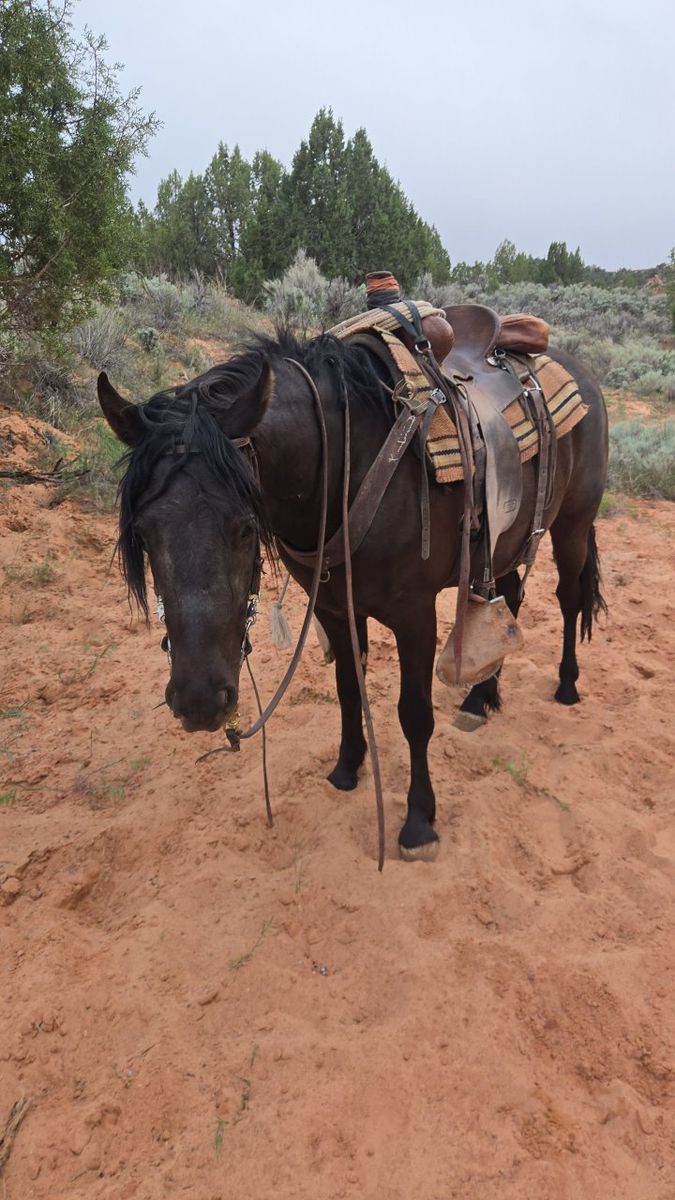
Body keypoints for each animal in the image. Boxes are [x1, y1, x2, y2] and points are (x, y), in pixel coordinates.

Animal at [97, 328, 608, 862]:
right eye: (144, 533)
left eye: (245, 528)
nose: (199, 702)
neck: (345, 466)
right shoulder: (335, 608)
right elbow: (347, 688)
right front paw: (347, 767)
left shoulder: (415, 615)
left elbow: (414, 714)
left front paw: (419, 822)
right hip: (504, 542)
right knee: (507, 600)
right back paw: (479, 699)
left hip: (573, 524)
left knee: (569, 599)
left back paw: (566, 686)